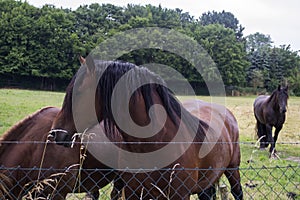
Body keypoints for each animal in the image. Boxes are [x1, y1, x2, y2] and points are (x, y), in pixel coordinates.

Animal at [50, 56, 243, 200]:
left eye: (79, 92)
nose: (55, 134)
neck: (157, 141)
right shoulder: (133, 192)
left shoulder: (179, 195)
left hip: (233, 171)